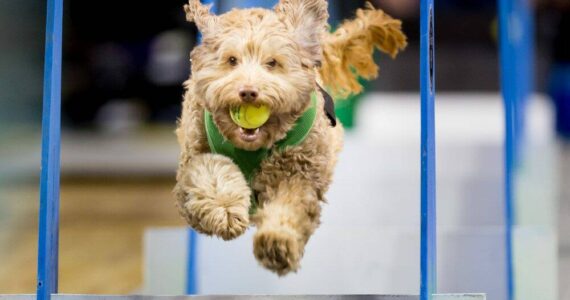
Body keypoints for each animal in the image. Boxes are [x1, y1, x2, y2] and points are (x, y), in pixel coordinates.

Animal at [173, 0, 404, 276]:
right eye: (231, 60)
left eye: (272, 63)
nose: (248, 92)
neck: (255, 146)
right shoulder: (195, 152)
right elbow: (210, 171)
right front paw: (225, 211)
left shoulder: (301, 171)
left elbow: (292, 203)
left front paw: (276, 242)